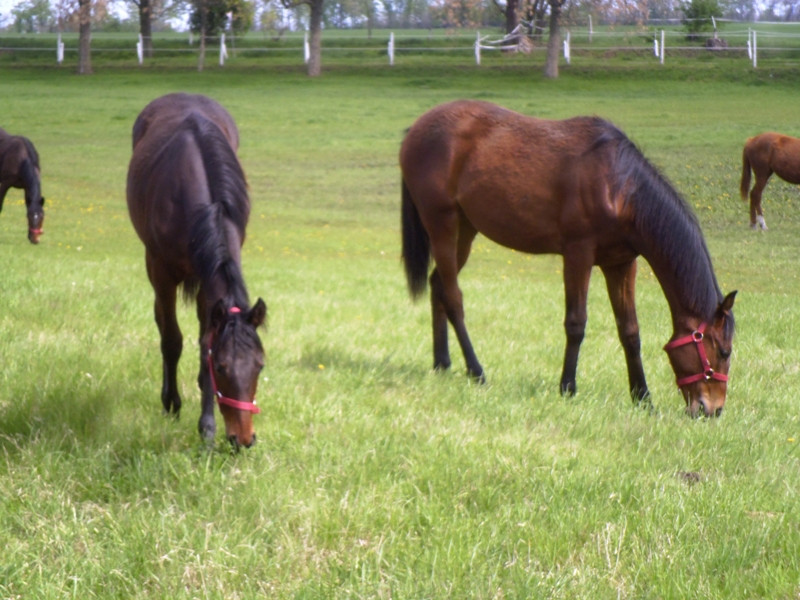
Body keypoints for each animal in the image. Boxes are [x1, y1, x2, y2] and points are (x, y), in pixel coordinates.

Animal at [126, 94, 268, 448]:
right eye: (223, 366)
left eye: (259, 366)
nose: (243, 438)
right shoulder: (161, 271)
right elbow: (172, 340)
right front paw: (173, 404)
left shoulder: (208, 282)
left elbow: (205, 341)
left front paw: (207, 425)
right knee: (162, 323)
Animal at [400, 99, 736, 418]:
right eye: (724, 351)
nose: (713, 409)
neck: (620, 189)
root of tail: (415, 130)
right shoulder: (578, 254)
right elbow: (576, 322)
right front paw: (568, 387)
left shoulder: (621, 264)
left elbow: (630, 331)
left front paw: (643, 398)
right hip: (442, 223)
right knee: (453, 297)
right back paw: (476, 370)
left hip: (465, 230)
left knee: (438, 286)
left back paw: (442, 363)